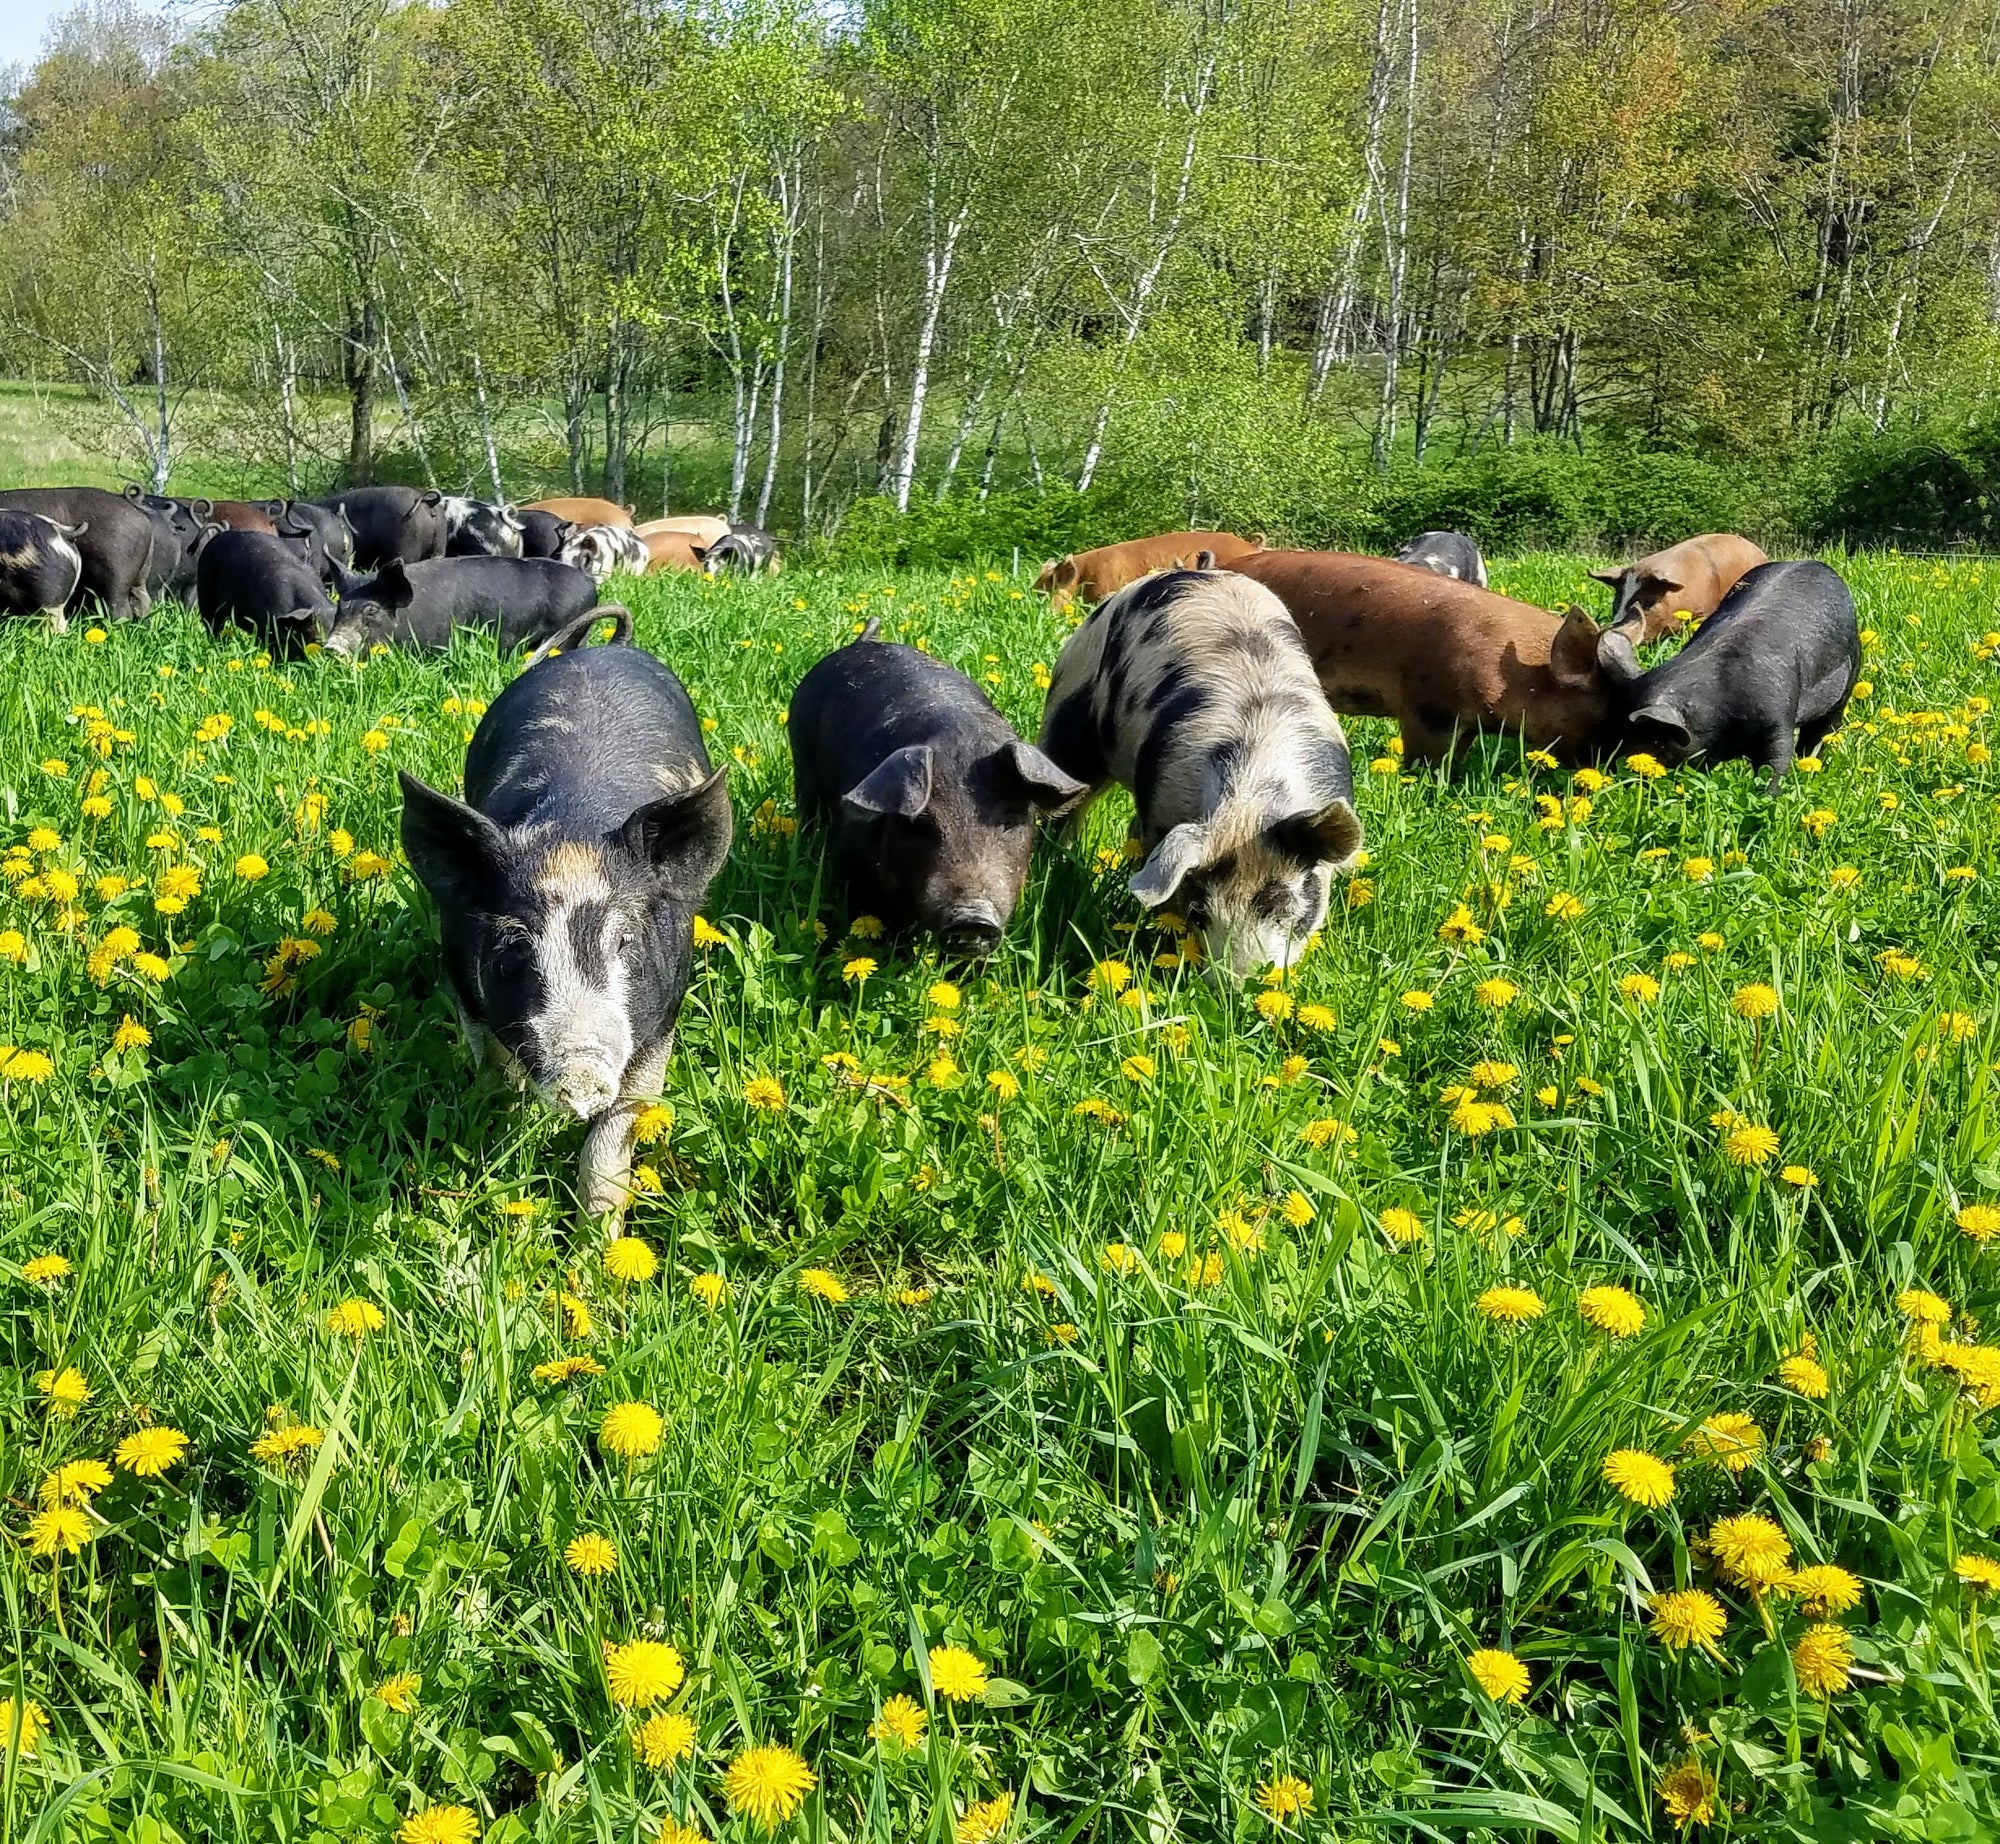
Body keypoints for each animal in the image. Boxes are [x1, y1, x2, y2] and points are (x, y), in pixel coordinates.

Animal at [398, 644, 732, 1225]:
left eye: (625, 942)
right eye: (515, 951)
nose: (580, 1070)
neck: (573, 831)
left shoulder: (662, 1017)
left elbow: (615, 1137)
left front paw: (598, 1241)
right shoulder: (464, 985)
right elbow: (497, 1075)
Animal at [1596, 560, 1859, 790]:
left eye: (1645, 743)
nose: (1609, 775)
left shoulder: (1778, 718)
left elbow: (1775, 765)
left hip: (1849, 677)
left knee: (1821, 732)